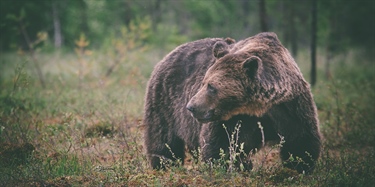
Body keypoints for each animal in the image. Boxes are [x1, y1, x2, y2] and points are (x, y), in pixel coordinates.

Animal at [142, 32, 322, 174]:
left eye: (211, 86)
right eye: (203, 82)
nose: (191, 107)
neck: (257, 107)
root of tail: (167, 56)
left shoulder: (290, 107)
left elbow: (301, 142)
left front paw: (299, 167)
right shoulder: (230, 120)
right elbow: (220, 146)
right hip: (164, 102)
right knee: (163, 140)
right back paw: (164, 165)